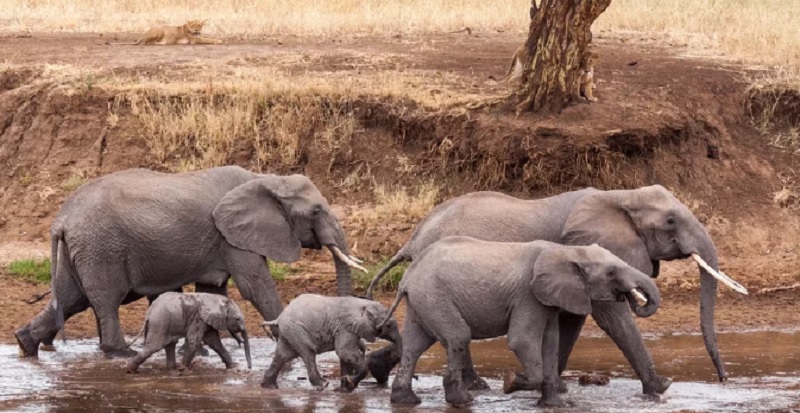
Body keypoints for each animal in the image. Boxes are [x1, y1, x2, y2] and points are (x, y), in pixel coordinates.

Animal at [15, 166, 365, 359]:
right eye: (316, 212)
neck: (266, 179)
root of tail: (61, 219)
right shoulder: (231, 237)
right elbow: (255, 286)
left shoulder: (223, 241)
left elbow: (213, 290)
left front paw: (206, 349)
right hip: (100, 247)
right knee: (104, 300)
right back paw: (120, 353)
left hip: (81, 249)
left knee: (71, 298)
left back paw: (27, 344)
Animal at [260, 294, 402, 392]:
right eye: (388, 326)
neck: (364, 304)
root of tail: (279, 318)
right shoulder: (345, 327)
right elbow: (345, 352)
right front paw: (350, 384)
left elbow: (346, 355)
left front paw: (345, 388)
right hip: (296, 330)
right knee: (308, 353)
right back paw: (323, 385)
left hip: (289, 333)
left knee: (282, 356)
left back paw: (269, 386)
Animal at [382, 237, 661, 407]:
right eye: (611, 272)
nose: (633, 296)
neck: (565, 250)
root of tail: (407, 277)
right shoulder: (528, 296)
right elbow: (522, 341)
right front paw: (510, 383)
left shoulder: (548, 300)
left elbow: (550, 344)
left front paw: (555, 405)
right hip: (434, 296)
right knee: (458, 336)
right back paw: (462, 400)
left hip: (422, 300)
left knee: (414, 345)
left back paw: (406, 401)